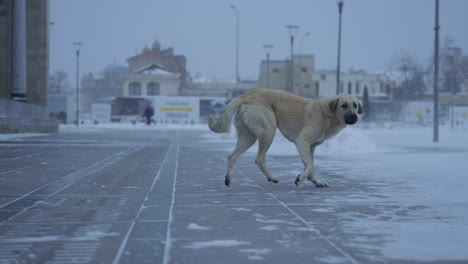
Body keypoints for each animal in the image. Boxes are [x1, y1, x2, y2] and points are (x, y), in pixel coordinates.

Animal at [208, 89, 362, 188]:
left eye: (355, 105)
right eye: (344, 105)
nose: (355, 117)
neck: (327, 114)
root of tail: (248, 95)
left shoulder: (311, 147)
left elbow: (311, 166)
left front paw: (315, 182)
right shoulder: (302, 142)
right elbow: (310, 166)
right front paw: (300, 179)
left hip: (248, 137)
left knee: (231, 156)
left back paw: (228, 179)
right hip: (269, 131)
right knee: (259, 158)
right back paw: (271, 177)